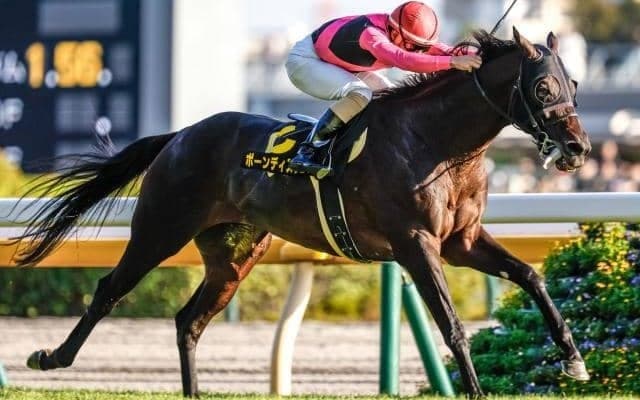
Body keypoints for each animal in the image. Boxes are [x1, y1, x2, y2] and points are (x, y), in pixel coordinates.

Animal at [14, 28, 591, 398]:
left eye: (575, 85)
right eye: (542, 86)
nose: (578, 148)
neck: (437, 143)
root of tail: (178, 136)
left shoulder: (461, 240)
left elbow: (531, 276)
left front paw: (573, 359)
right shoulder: (415, 244)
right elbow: (451, 325)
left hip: (234, 257)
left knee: (189, 320)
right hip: (160, 228)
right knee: (109, 290)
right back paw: (51, 357)